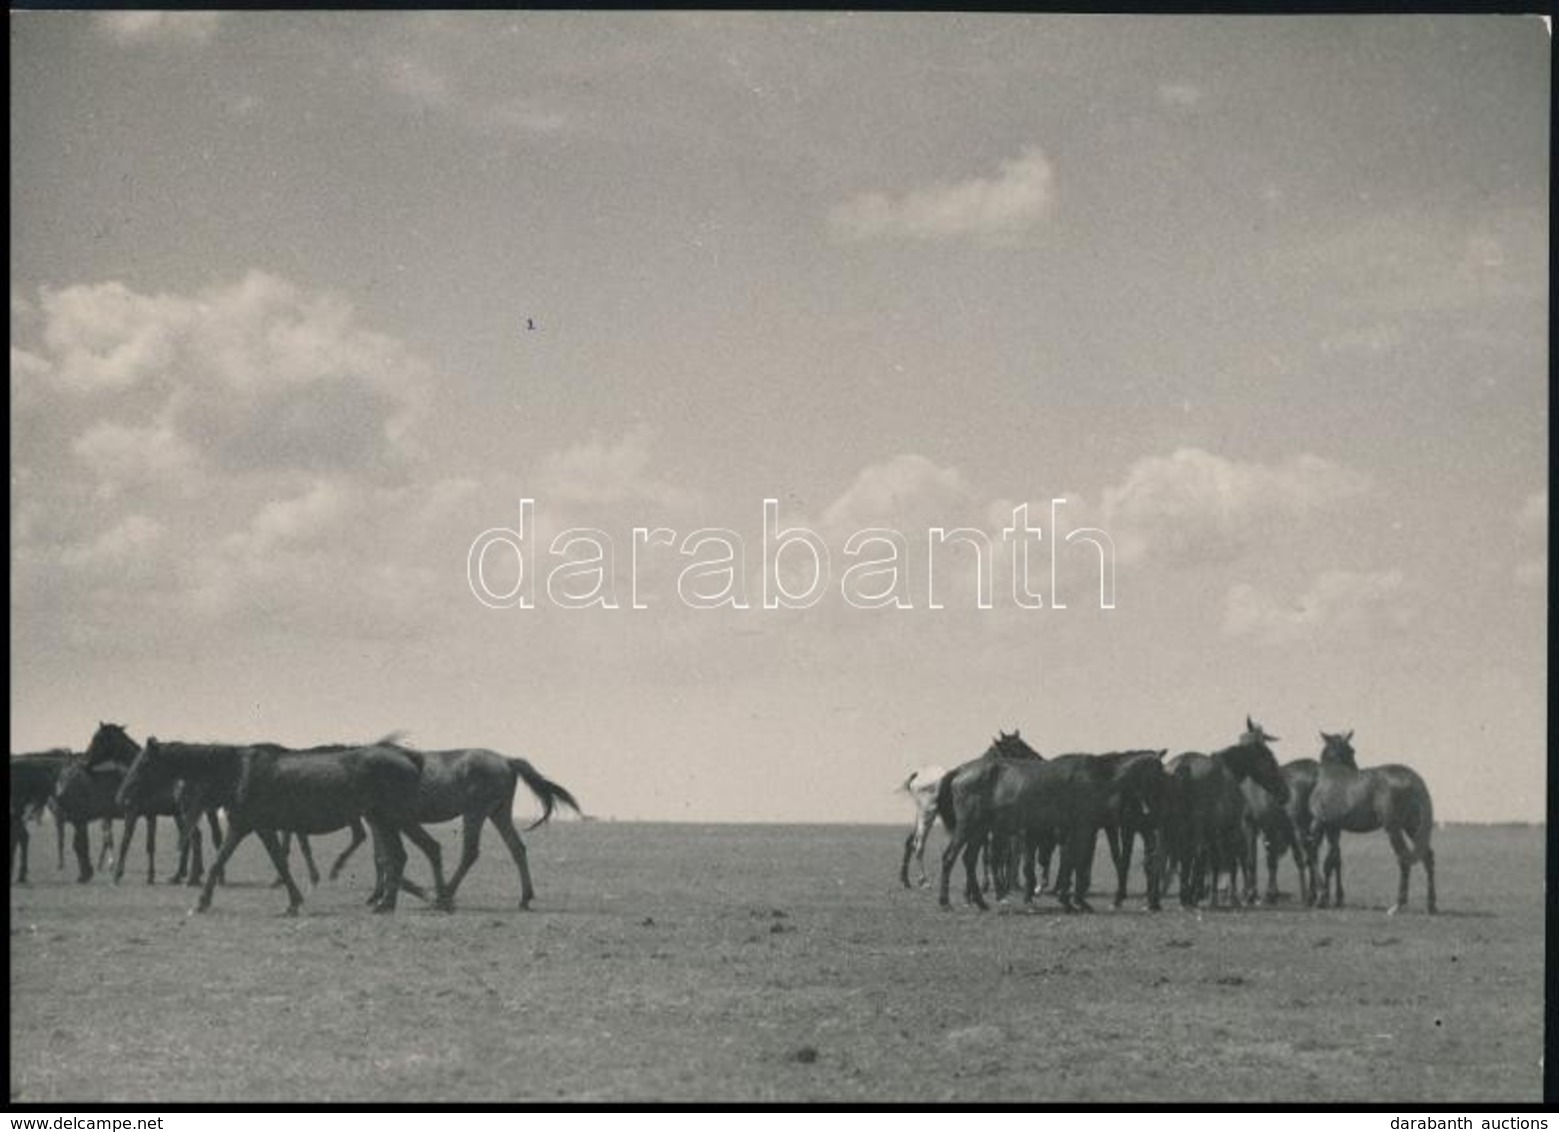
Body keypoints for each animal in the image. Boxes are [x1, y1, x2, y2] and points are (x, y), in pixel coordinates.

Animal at [120, 739, 445, 916]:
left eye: (144, 763)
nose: (121, 798)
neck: (238, 771)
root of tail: (409, 757)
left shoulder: (246, 826)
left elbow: (222, 862)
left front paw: (200, 904)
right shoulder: (257, 828)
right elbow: (276, 862)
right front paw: (294, 902)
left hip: (395, 818)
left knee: (424, 850)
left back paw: (436, 899)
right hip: (386, 820)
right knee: (403, 855)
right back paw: (395, 902)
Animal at [1172, 726, 1290, 910]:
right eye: (1269, 757)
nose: (1284, 793)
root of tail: (1183, 764)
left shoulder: (1215, 831)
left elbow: (1214, 861)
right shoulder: (1228, 828)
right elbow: (1228, 862)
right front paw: (1230, 897)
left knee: (1180, 855)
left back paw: (1184, 897)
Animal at [1240, 757, 1315, 910]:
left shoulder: (1249, 823)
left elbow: (1251, 860)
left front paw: (1252, 894)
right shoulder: (1271, 829)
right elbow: (1271, 861)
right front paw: (1270, 894)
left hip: (1297, 827)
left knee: (1305, 856)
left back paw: (1307, 897)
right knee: (1309, 857)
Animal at [1303, 732, 1434, 916]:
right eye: (1351, 750)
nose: (1356, 769)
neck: (1329, 776)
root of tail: (1411, 778)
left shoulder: (1319, 823)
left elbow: (1314, 855)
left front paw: (1321, 897)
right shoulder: (1333, 828)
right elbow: (1331, 860)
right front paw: (1328, 897)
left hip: (1393, 828)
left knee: (1403, 858)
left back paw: (1397, 905)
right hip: (1412, 826)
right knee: (1427, 857)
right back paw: (1431, 905)